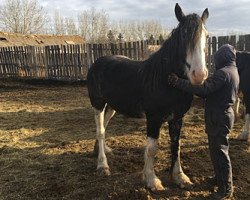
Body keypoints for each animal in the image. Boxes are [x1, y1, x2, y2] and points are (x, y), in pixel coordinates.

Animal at [87, 2, 208, 191]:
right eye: (183, 34)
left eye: (206, 36)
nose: (199, 75)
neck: (166, 80)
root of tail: (97, 63)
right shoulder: (153, 119)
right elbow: (152, 149)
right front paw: (152, 180)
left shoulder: (177, 118)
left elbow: (176, 146)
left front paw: (180, 177)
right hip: (98, 104)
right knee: (100, 131)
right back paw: (102, 165)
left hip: (112, 106)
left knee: (104, 127)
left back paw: (102, 150)